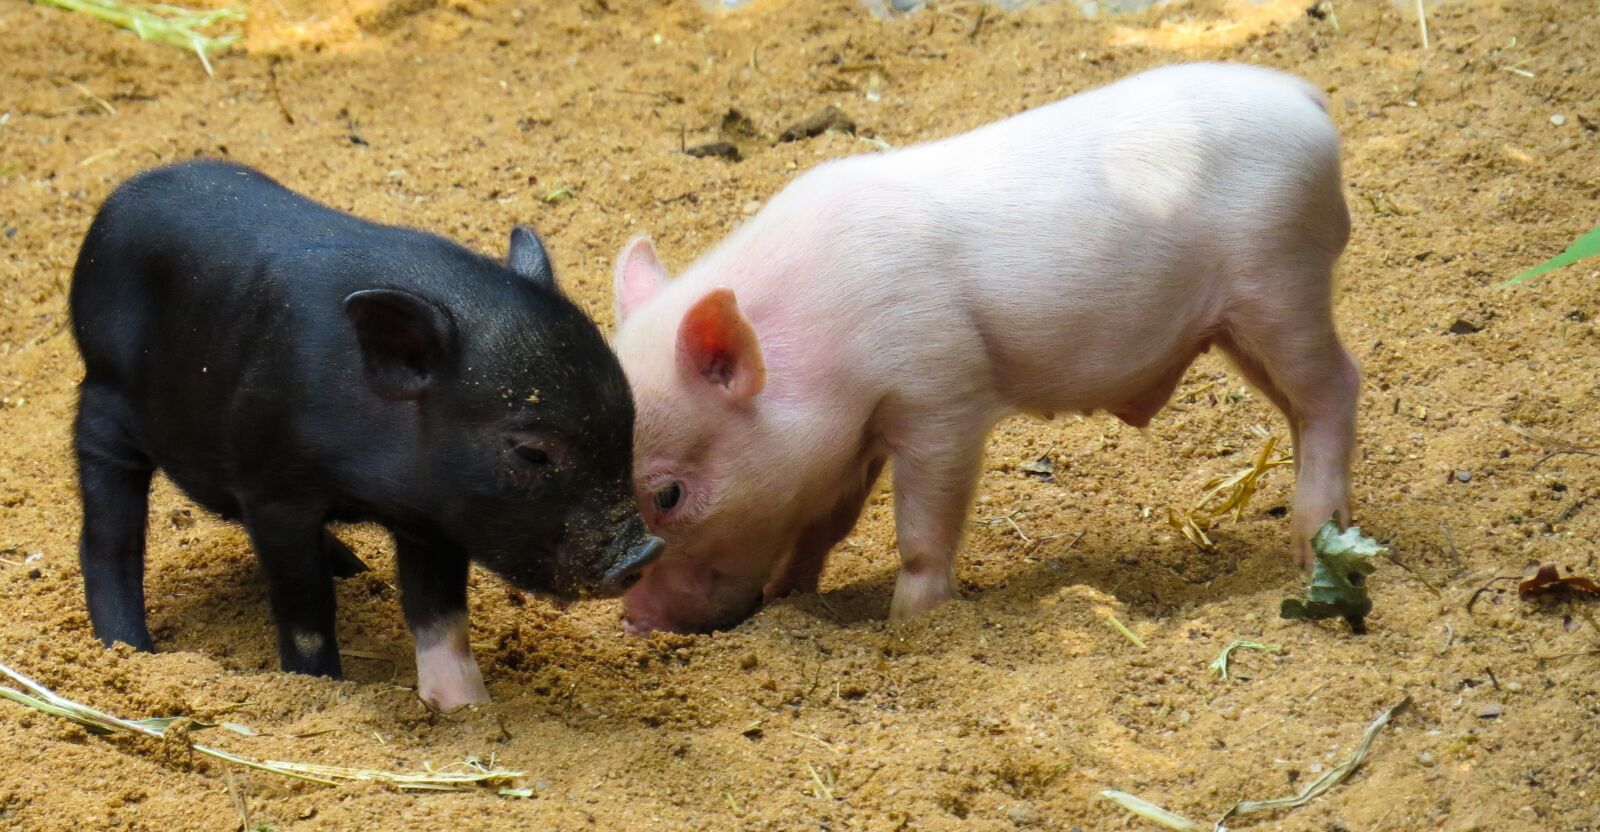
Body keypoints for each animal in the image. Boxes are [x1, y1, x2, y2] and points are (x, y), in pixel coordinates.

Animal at [70, 160, 662, 711]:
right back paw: (130, 650)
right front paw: (322, 688)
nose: (644, 552)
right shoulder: (274, 493)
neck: (370, 490)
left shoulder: (437, 516)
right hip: (102, 404)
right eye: (532, 452)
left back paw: (356, 569)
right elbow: (307, 610)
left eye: (629, 421)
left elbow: (440, 614)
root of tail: (118, 201)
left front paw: (467, 710)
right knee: (109, 540)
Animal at [611, 63, 1358, 634]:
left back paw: (1312, 549)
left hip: (1281, 279)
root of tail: (1303, 97)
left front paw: (908, 623)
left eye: (669, 494)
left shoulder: (942, 394)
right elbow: (826, 522)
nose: (633, 619)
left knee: (1335, 387)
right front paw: (786, 598)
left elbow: (922, 530)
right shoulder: (858, 434)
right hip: (1239, 324)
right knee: (1297, 408)